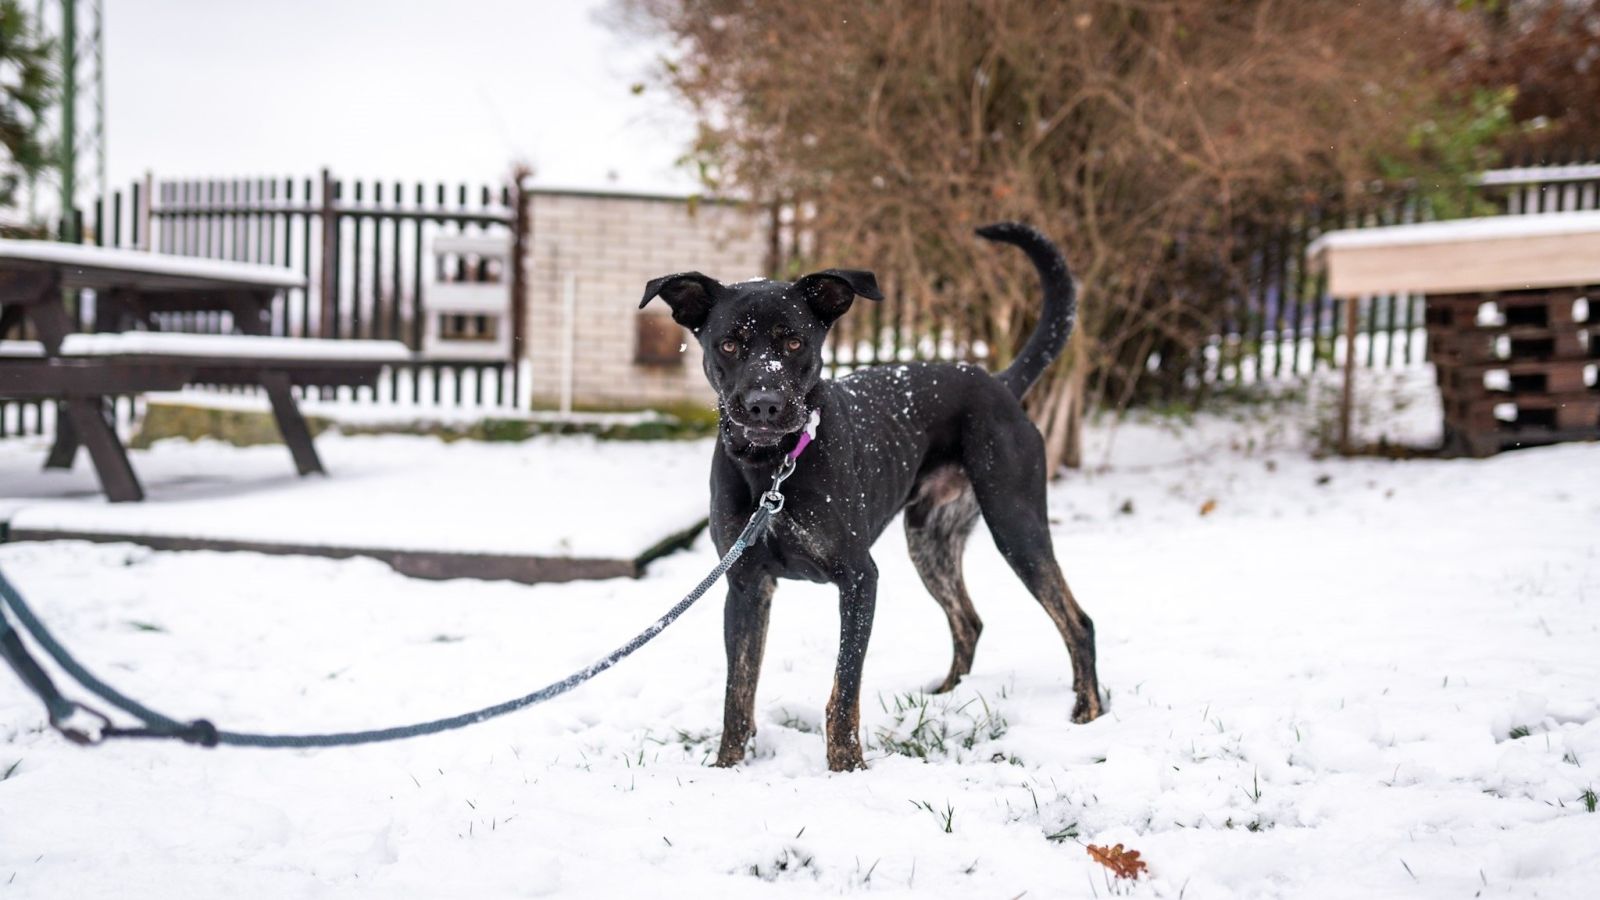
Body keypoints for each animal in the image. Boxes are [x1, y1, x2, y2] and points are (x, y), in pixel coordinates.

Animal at [639, 222, 1102, 772]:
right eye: (729, 344)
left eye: (794, 341)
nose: (763, 405)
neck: (773, 468)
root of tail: (998, 383)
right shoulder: (745, 585)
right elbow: (739, 690)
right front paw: (727, 768)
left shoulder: (860, 579)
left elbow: (843, 690)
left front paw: (846, 768)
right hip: (930, 539)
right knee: (969, 620)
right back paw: (945, 697)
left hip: (1015, 523)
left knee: (1077, 621)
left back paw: (1088, 714)